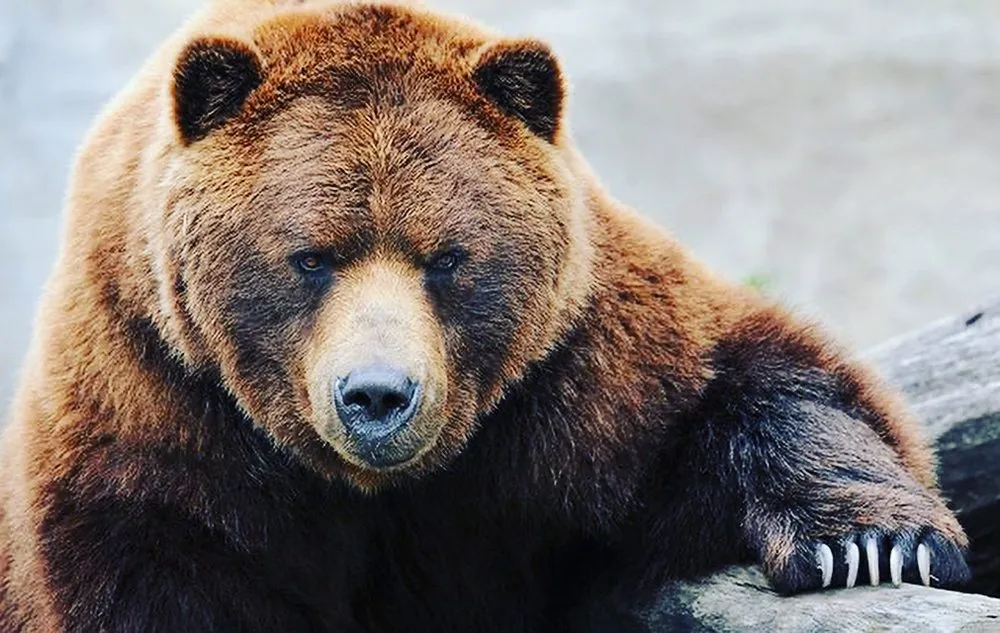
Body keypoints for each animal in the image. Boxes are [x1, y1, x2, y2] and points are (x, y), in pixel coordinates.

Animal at [0, 0, 970, 631]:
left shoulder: (576, 379)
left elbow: (753, 384)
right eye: (311, 256)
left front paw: (874, 544)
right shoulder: (158, 412)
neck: (383, 487)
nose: (378, 396)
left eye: (447, 257)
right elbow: (165, 566)